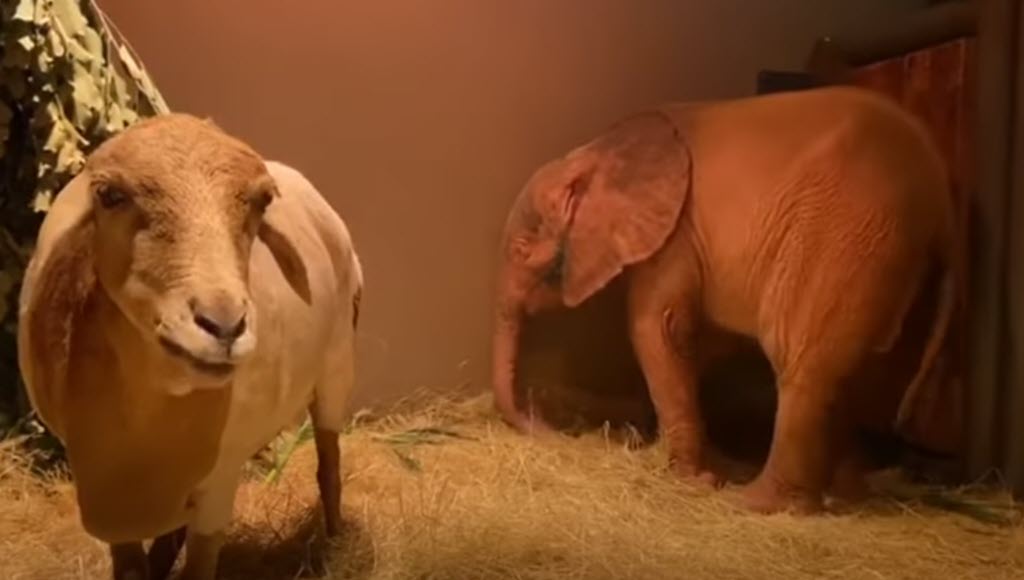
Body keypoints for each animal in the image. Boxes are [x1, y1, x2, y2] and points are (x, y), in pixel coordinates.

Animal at [490, 86, 956, 514]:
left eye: (520, 249)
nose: (550, 425)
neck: (597, 151)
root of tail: (941, 197)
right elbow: (695, 341)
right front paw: (698, 465)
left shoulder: (675, 233)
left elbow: (656, 326)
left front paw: (692, 480)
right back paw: (843, 498)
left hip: (842, 236)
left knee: (800, 360)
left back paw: (756, 504)